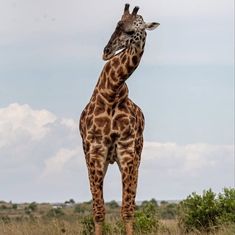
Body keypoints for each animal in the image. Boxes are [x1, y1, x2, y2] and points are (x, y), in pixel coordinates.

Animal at [79, 4, 160, 235]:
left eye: (131, 31)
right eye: (117, 25)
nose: (106, 52)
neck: (111, 93)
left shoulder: (127, 150)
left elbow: (127, 210)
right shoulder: (96, 151)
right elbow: (98, 211)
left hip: (138, 156)